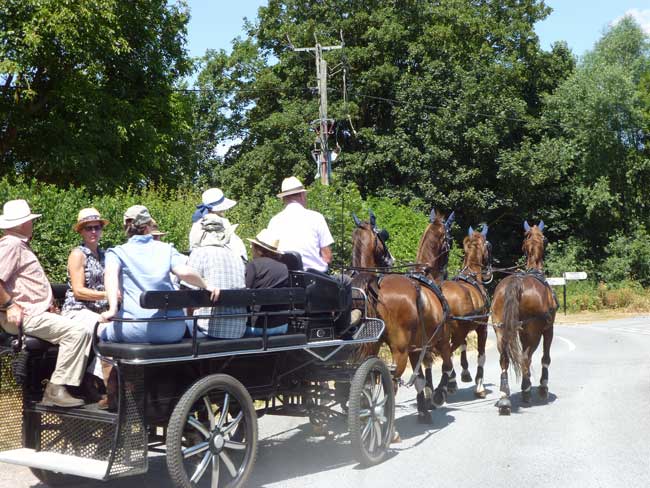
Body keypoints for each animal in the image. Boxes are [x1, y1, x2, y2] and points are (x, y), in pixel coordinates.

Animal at [346, 212, 448, 422]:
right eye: (448, 239)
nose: (391, 259)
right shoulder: (439, 338)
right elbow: (447, 367)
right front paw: (440, 393)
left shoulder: (416, 346)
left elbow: (420, 379)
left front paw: (423, 410)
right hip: (399, 349)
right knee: (390, 382)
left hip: (372, 346)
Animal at [418, 210, 488, 400]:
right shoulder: (482, 327)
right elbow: (481, 355)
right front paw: (478, 384)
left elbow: (462, 347)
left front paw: (463, 374)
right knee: (445, 356)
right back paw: (442, 387)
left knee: (430, 360)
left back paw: (431, 387)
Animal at [488, 221, 556, 416]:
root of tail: (516, 282)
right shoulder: (548, 329)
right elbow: (545, 358)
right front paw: (542, 387)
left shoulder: (520, 331)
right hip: (535, 330)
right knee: (526, 357)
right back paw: (526, 390)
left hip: (500, 328)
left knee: (504, 358)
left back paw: (504, 397)